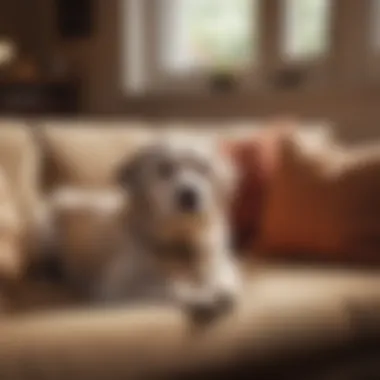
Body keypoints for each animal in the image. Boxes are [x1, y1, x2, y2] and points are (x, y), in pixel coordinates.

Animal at [46, 135, 239, 320]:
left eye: (204, 169)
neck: (181, 244)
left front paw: (218, 292)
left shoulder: (222, 264)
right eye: (164, 169)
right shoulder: (115, 289)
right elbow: (171, 289)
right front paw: (202, 298)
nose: (189, 195)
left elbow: (224, 282)